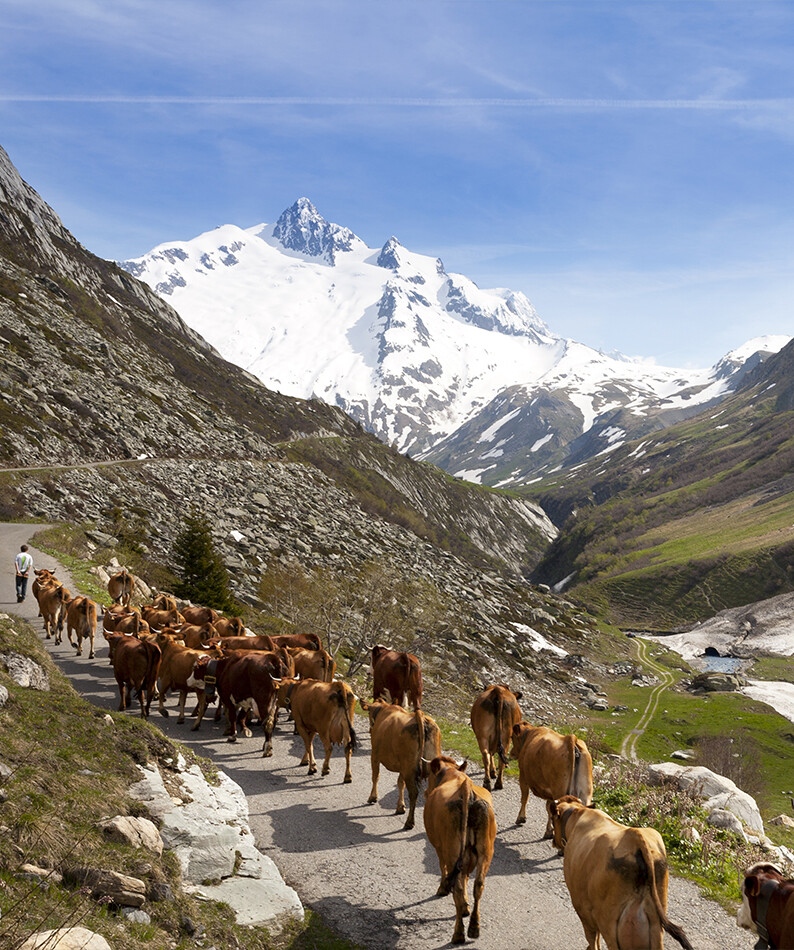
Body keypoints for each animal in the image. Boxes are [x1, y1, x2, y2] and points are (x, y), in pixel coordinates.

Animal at [358, 700, 440, 832]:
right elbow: (400, 783)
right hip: (425, 768)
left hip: (410, 768)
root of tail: (421, 718)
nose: (370, 729)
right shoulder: (402, 766)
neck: (383, 709)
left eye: (369, 713)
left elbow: (375, 777)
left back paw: (409, 823)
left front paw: (373, 797)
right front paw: (400, 806)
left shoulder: (374, 755)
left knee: (413, 793)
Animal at [424, 760, 492, 944]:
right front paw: (466, 906)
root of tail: (465, 787)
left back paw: (458, 934)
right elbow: (467, 877)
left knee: (457, 886)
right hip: (486, 851)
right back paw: (474, 927)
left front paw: (442, 889)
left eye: (430, 775)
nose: (425, 792)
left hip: (451, 850)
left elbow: (444, 869)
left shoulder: (439, 847)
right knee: (478, 884)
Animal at [548, 796, 688, 950]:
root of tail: (635, 836)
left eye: (553, 819)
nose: (553, 841)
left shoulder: (583, 909)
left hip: (609, 924)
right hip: (655, 926)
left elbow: (593, 940)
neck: (578, 814)